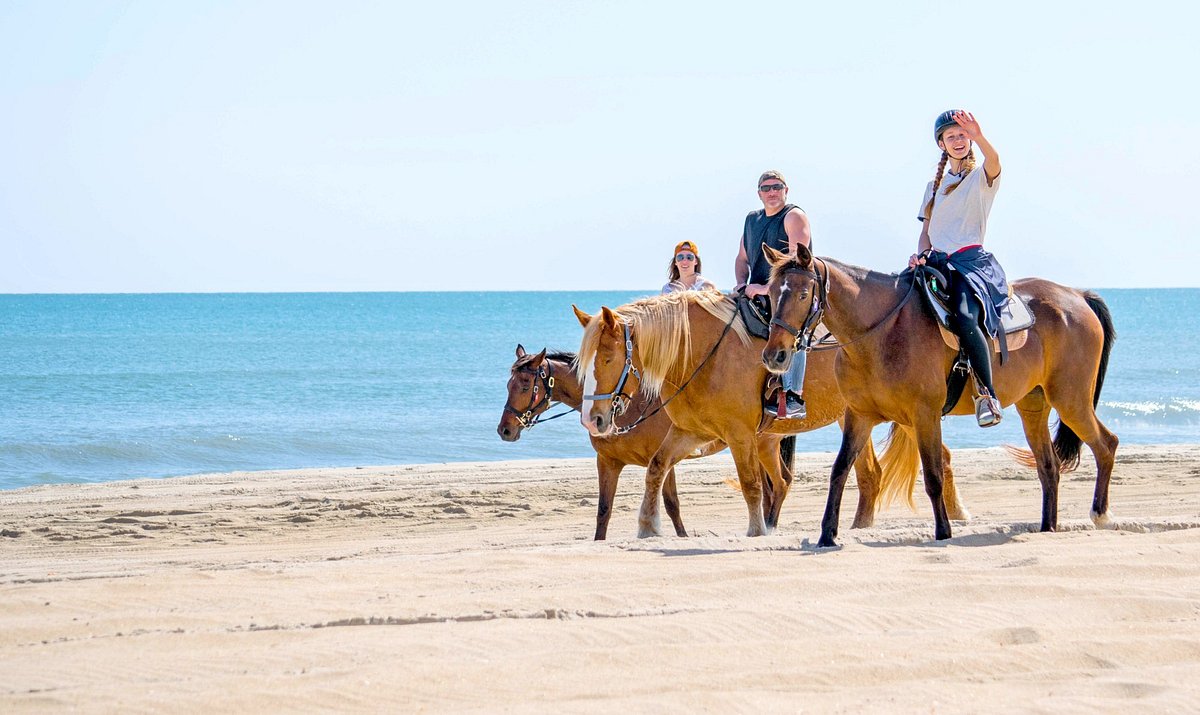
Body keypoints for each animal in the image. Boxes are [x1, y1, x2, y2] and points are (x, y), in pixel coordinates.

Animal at [494, 343, 720, 539]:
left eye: (525, 387)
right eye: (508, 385)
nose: (504, 430)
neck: (630, 407)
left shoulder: (664, 460)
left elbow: (672, 505)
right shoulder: (607, 462)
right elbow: (604, 510)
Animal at [763, 243, 1118, 544]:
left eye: (803, 294)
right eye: (770, 293)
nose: (774, 355)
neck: (882, 332)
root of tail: (1077, 295)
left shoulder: (925, 415)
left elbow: (933, 474)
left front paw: (943, 531)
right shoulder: (858, 416)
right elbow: (839, 470)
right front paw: (827, 535)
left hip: (1071, 401)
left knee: (1106, 444)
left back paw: (1100, 514)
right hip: (1034, 406)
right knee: (1049, 466)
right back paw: (1048, 527)